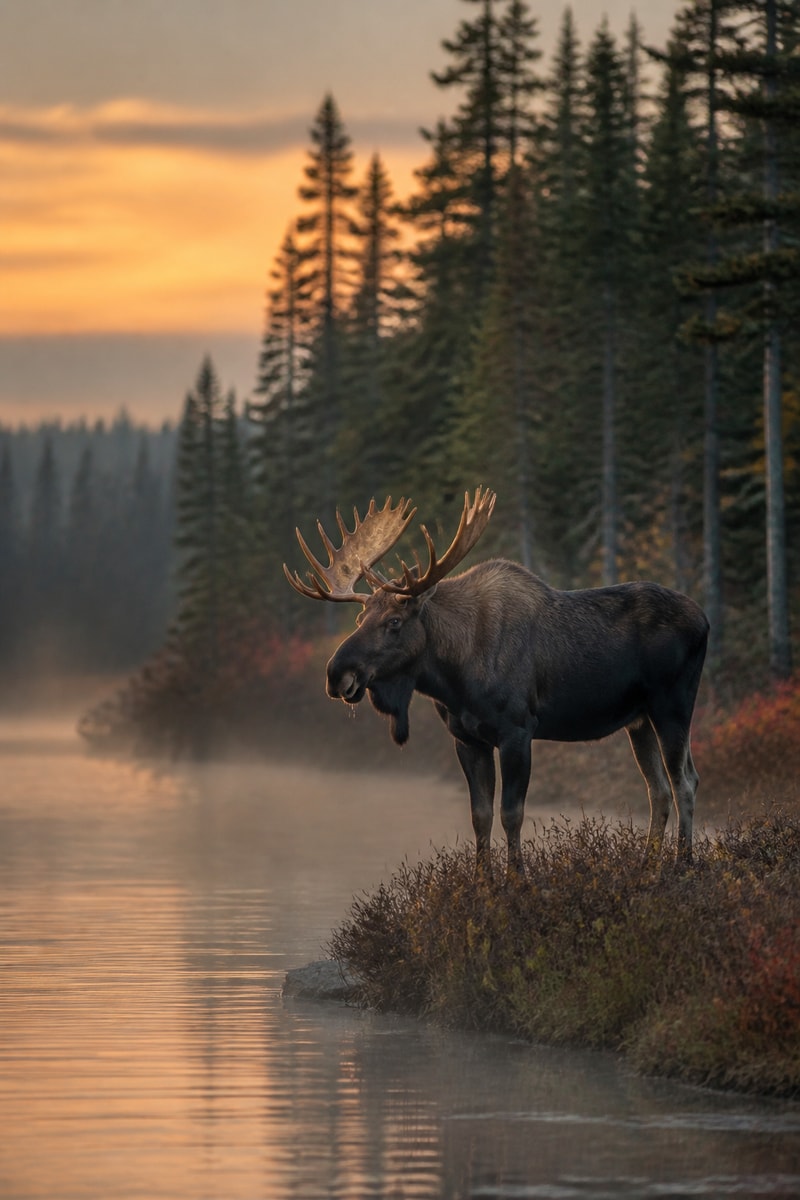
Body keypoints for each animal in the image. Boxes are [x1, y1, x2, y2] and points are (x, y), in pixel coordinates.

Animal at [285, 487, 709, 875]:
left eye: (394, 622)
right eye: (360, 619)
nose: (337, 673)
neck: (454, 676)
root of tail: (705, 619)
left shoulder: (518, 730)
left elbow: (511, 813)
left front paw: (516, 878)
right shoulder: (467, 738)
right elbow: (481, 816)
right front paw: (483, 881)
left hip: (672, 705)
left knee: (685, 780)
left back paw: (683, 864)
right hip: (638, 720)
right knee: (658, 789)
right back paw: (647, 866)